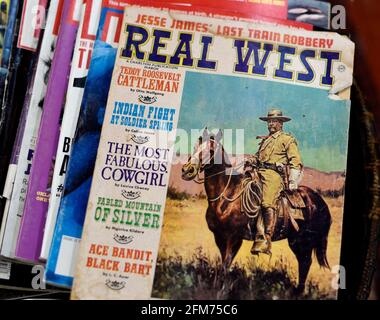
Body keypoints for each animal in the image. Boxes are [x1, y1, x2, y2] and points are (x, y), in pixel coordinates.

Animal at [182, 128, 332, 292]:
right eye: (195, 147)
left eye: (210, 150)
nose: (187, 170)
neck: (227, 194)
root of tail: (319, 201)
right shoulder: (219, 236)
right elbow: (223, 264)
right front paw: (217, 287)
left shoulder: (234, 237)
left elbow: (227, 264)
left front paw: (223, 290)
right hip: (295, 240)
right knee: (303, 262)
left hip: (305, 240)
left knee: (305, 262)